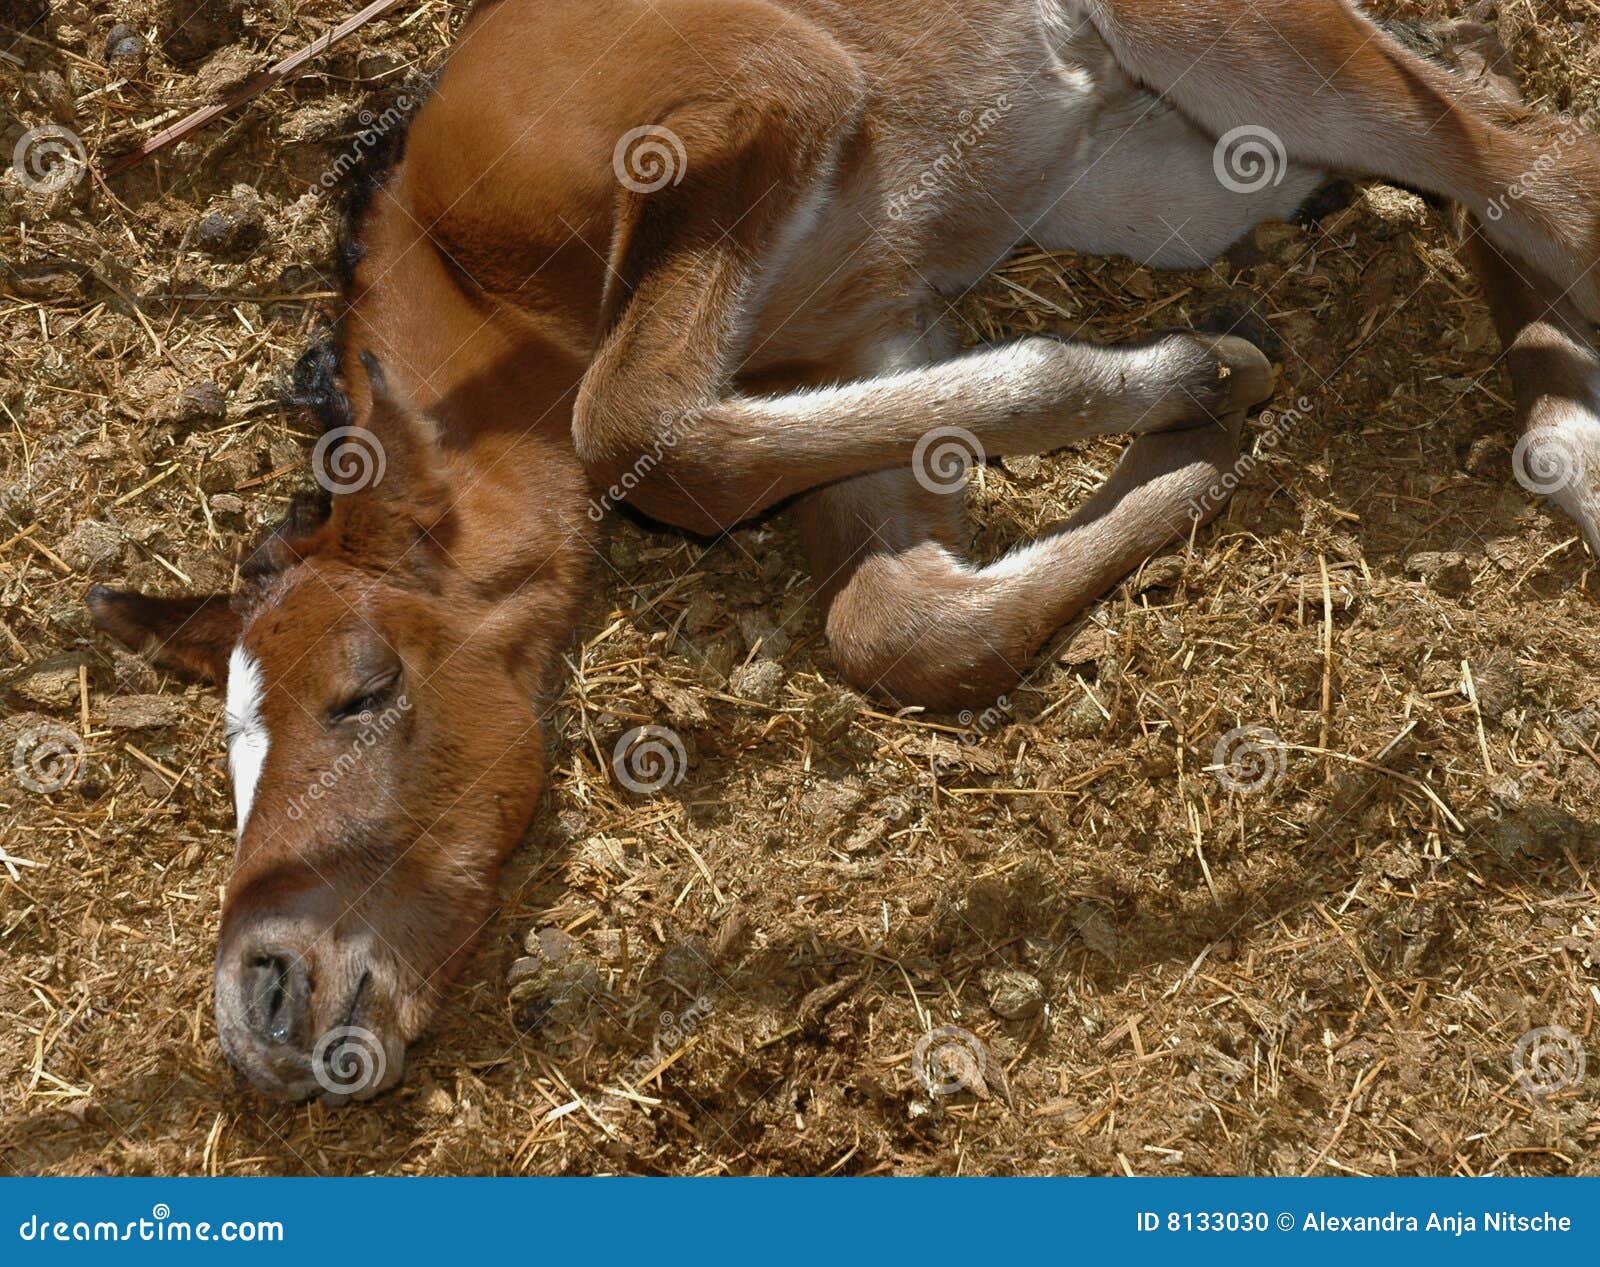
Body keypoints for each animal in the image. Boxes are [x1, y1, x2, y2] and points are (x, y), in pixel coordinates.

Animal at [87, 0, 1600, 1100]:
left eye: (365, 687)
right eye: (234, 751)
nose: (260, 996)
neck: (484, 278)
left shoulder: (770, 97)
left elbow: (643, 434)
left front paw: (1169, 372)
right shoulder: (861, 338)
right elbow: (901, 617)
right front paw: (1188, 425)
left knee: (1540, 172)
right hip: (1178, 181)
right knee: (1497, 147)